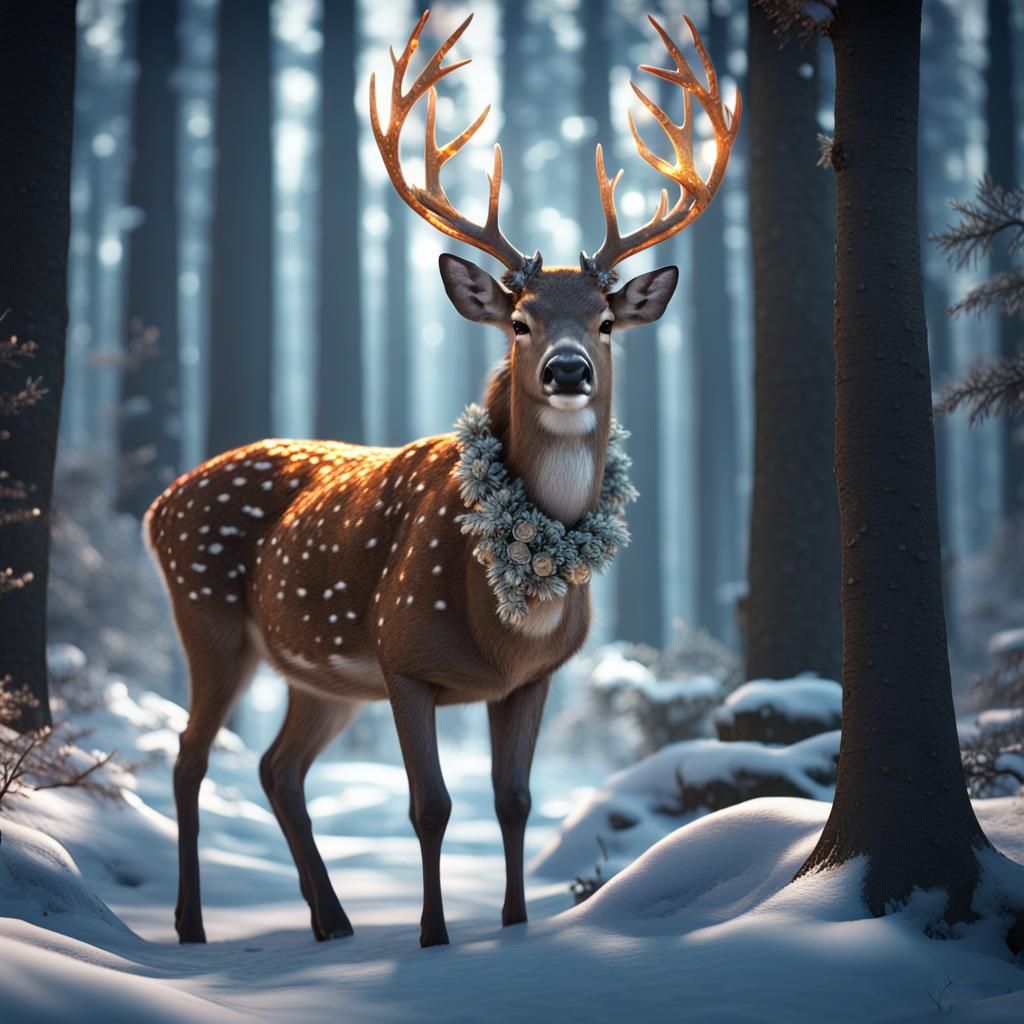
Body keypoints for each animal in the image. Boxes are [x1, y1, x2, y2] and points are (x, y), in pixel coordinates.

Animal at [144, 9, 739, 949]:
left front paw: (516, 923)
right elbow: (431, 807)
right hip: (207, 618)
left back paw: (333, 922)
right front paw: (433, 937)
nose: (568, 370)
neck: (511, 608)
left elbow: (513, 801)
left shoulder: (532, 679)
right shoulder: (403, 655)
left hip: (318, 674)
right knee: (189, 757)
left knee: (278, 769)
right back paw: (195, 925)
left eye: (606, 321)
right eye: (521, 320)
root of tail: (158, 503)